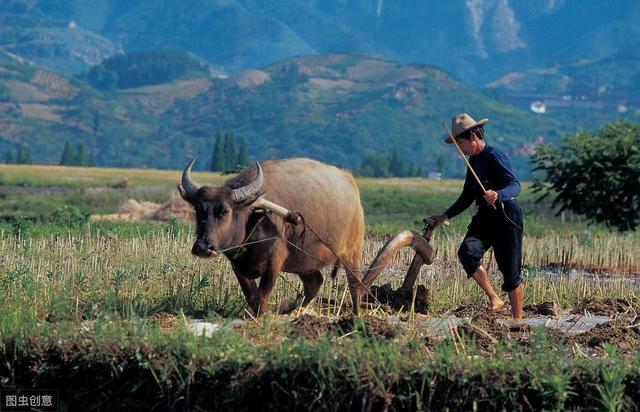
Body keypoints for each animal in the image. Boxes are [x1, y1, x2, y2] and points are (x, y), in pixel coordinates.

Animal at [178, 157, 432, 316]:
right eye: (198, 211)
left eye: (224, 211)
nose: (203, 247)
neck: (256, 216)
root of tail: (351, 183)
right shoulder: (238, 264)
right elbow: (251, 295)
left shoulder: (274, 261)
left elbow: (262, 295)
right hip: (306, 260)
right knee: (315, 283)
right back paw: (296, 309)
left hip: (353, 252)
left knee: (356, 286)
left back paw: (356, 316)